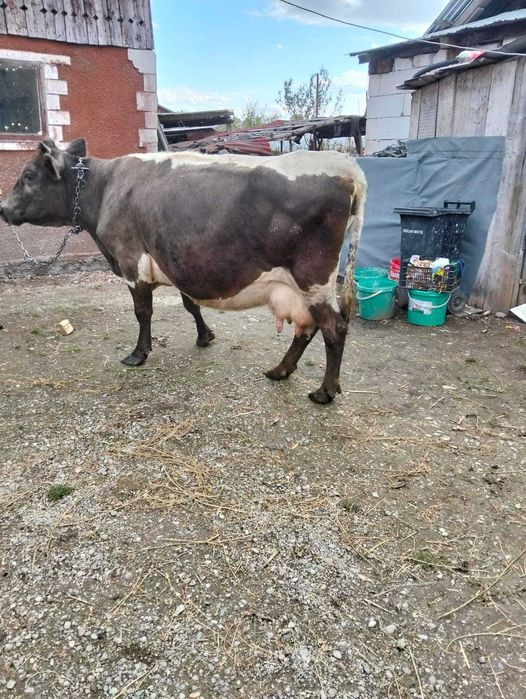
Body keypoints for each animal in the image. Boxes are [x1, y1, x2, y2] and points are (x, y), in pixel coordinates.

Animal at [0, 139, 366, 404]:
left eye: (29, 175)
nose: (2, 208)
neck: (104, 189)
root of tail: (347, 166)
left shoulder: (131, 259)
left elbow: (143, 311)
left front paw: (138, 354)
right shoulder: (175, 260)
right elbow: (190, 304)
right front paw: (205, 336)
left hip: (313, 276)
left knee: (333, 327)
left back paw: (324, 392)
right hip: (303, 285)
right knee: (308, 327)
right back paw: (281, 370)